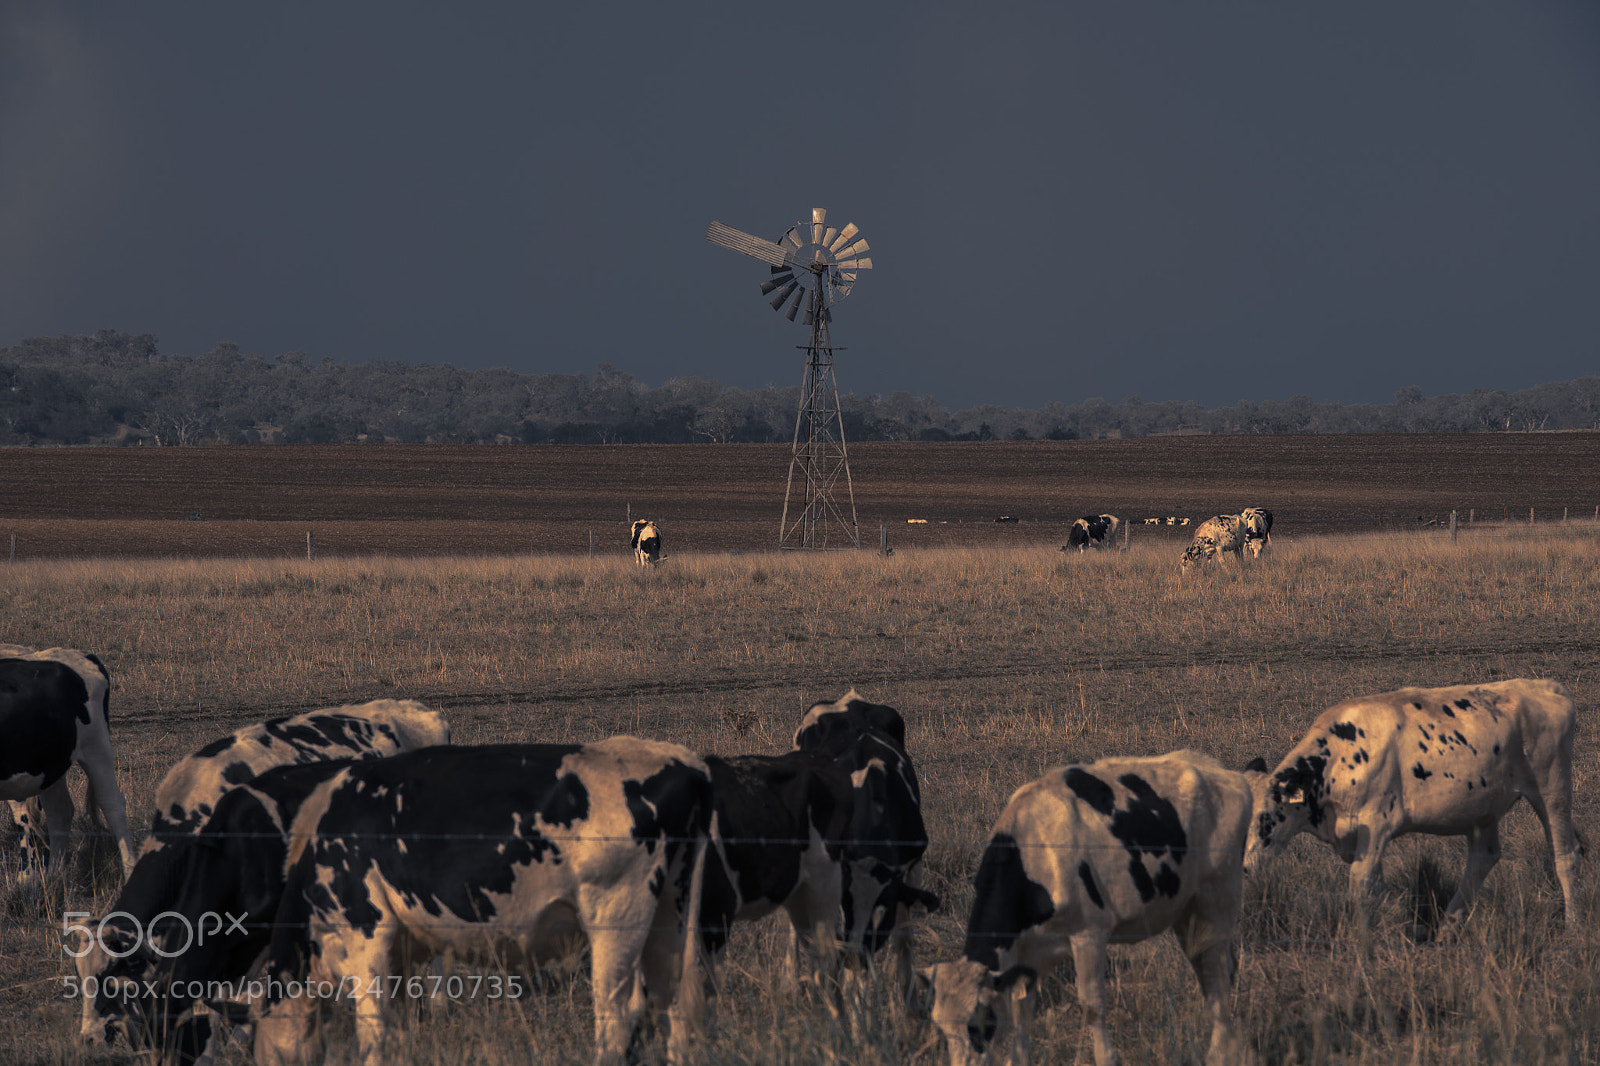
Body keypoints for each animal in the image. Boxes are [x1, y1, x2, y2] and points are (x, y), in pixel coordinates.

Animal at [0, 644, 136, 880]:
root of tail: (82, 655)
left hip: (96, 747)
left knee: (113, 806)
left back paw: (129, 871)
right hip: (48, 766)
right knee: (59, 812)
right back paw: (53, 875)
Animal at [251, 738, 713, 1066]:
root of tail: (686, 763)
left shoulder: (366, 934)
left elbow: (375, 1034)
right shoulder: (401, 954)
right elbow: (398, 1034)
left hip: (616, 915)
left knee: (617, 1016)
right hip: (670, 915)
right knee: (674, 1009)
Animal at [792, 691, 940, 993]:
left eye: (882, 909)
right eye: (846, 905)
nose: (856, 953)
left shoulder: (912, 862)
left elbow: (904, 938)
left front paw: (906, 993)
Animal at [921, 751, 1252, 1066]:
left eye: (980, 1022)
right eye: (942, 1028)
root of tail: (1224, 773)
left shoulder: (1089, 934)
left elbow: (1092, 1006)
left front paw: (1108, 1058)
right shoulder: (1027, 956)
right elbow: (1021, 1012)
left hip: (1218, 899)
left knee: (1217, 974)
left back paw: (1219, 1054)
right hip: (1188, 913)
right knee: (1209, 971)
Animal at [1244, 679, 1583, 930]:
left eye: (1265, 817)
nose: (1244, 867)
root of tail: (1547, 687)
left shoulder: (1377, 825)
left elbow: (1360, 884)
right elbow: (1376, 886)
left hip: (1552, 788)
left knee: (1565, 855)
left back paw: (1572, 926)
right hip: (1482, 808)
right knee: (1483, 857)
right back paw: (1447, 926)